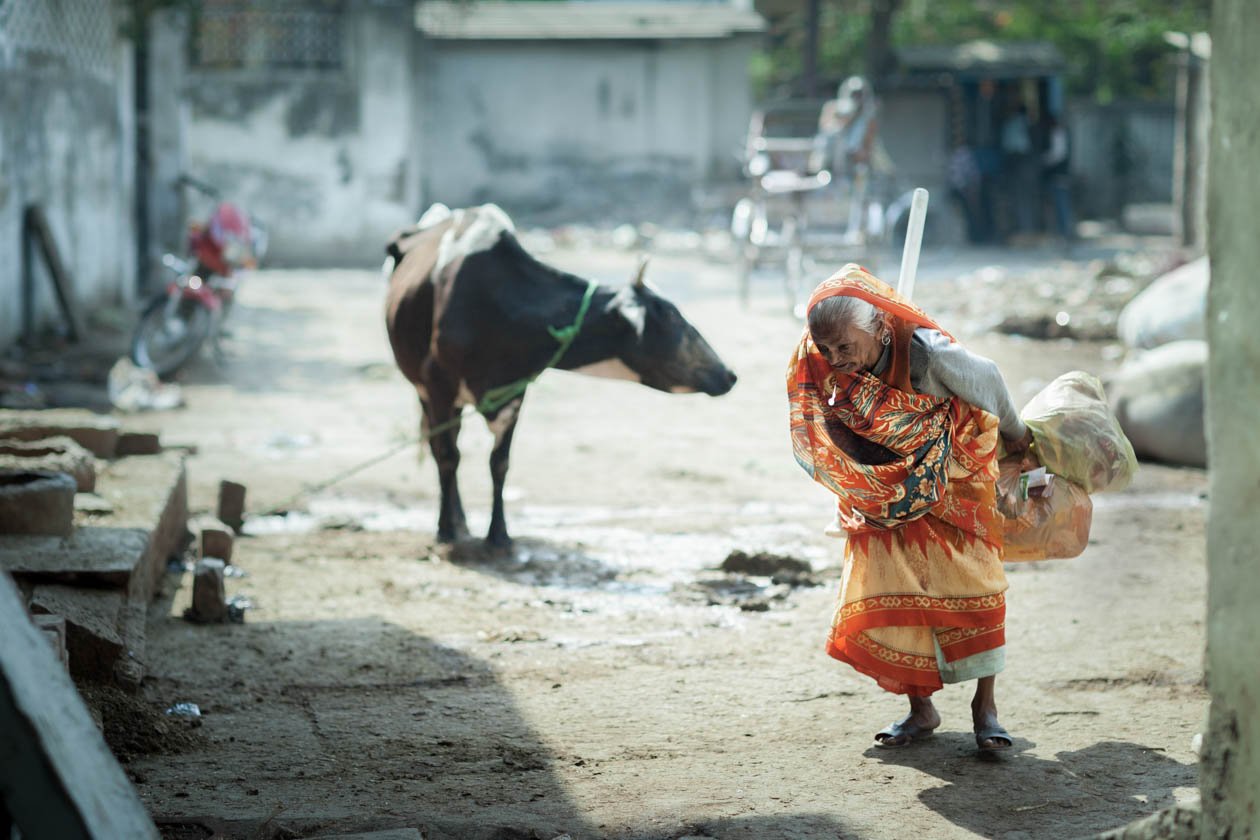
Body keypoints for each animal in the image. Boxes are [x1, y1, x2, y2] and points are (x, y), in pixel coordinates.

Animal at [383, 202, 735, 546]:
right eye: (672, 317)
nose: (728, 374)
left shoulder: (515, 391)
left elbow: (499, 463)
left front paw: (499, 534)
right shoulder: (437, 385)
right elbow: (447, 456)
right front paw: (445, 530)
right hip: (423, 389)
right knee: (441, 448)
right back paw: (455, 520)